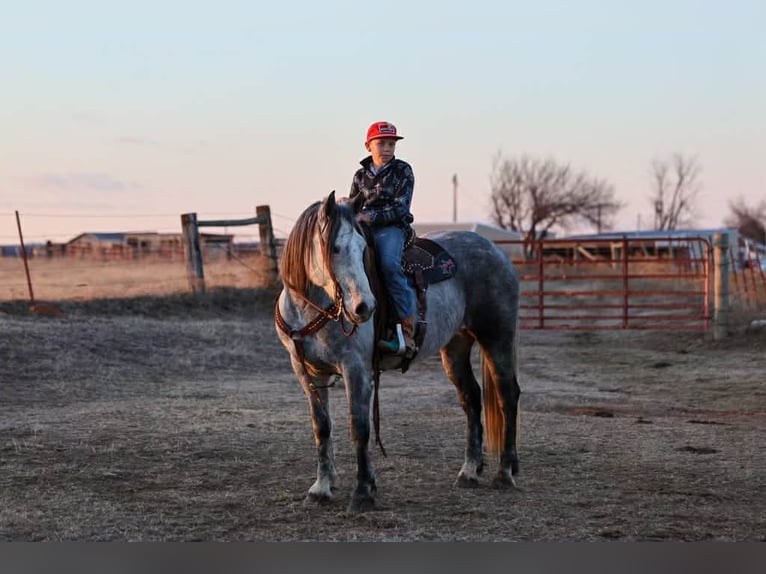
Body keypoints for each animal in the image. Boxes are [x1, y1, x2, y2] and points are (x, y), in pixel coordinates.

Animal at [274, 191, 521, 512]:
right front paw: (321, 489)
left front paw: (363, 492)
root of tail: (498, 252)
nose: (364, 307)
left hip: (497, 338)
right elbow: (322, 428)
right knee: (471, 398)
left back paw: (505, 473)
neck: (312, 308)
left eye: (362, 248)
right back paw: (469, 472)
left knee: (507, 396)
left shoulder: (356, 369)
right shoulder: (307, 373)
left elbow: (359, 427)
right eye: (336, 248)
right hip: (456, 346)